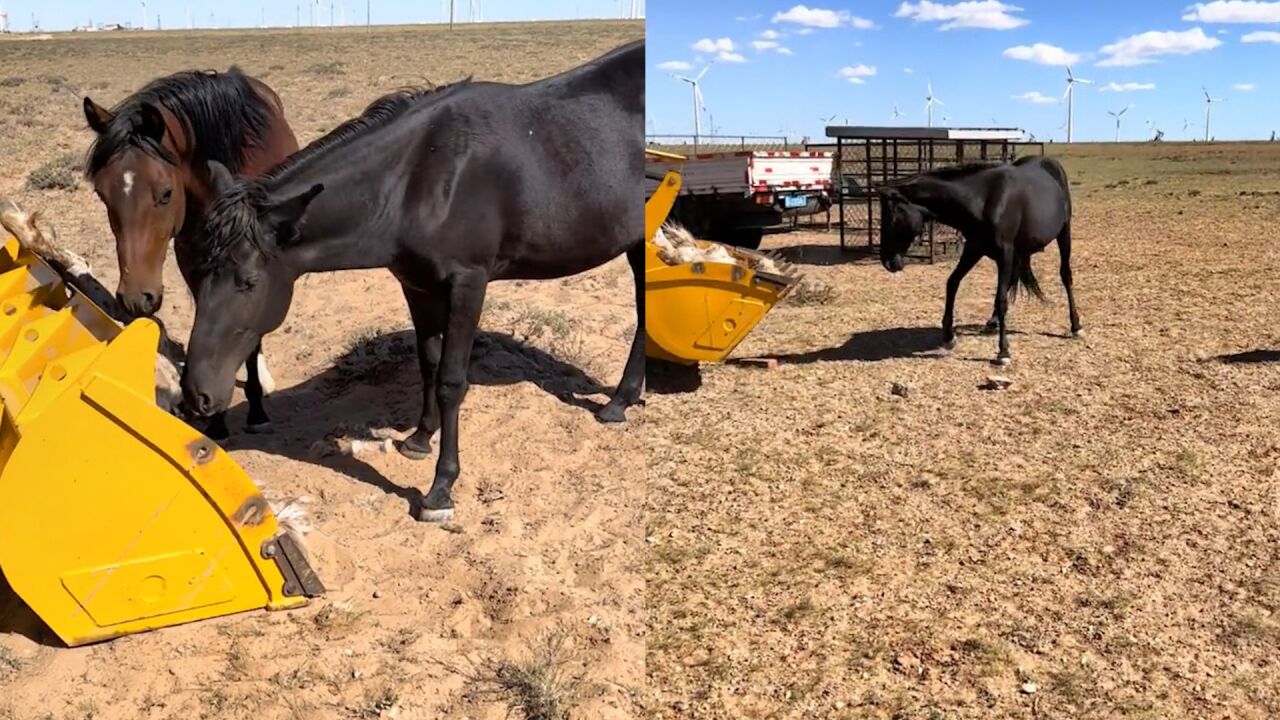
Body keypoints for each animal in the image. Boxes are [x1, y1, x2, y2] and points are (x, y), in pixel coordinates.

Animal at [82, 67, 296, 435]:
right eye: (101, 194)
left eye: (165, 193)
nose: (135, 299)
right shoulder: (196, 270)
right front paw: (216, 421)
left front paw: (255, 409)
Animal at [181, 39, 645, 517]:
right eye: (195, 273)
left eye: (249, 281)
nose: (196, 396)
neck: (422, 177)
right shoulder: (417, 284)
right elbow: (428, 362)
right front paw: (421, 438)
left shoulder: (468, 283)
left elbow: (451, 381)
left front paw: (440, 488)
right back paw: (622, 400)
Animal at [880, 153, 1080, 361]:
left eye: (892, 218)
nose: (887, 261)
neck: (983, 201)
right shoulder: (974, 249)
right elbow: (953, 283)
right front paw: (948, 336)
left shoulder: (1004, 254)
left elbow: (1001, 299)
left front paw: (1003, 352)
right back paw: (992, 322)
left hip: (1064, 233)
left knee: (1065, 275)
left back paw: (1075, 326)